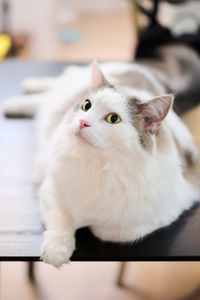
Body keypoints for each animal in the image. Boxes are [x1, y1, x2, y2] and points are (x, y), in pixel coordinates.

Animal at [2, 47, 200, 268]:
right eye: (87, 106)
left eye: (113, 119)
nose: (82, 122)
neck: (97, 164)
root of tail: (151, 73)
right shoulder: (51, 187)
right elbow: (60, 222)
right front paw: (56, 252)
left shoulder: (171, 206)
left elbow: (107, 231)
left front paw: (89, 225)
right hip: (75, 82)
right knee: (54, 85)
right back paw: (21, 93)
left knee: (45, 98)